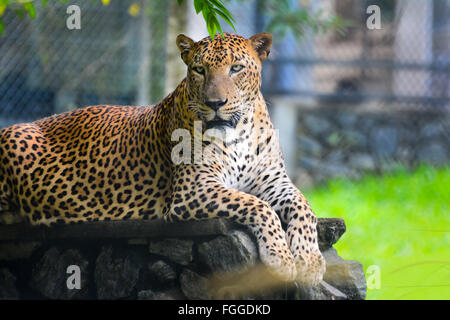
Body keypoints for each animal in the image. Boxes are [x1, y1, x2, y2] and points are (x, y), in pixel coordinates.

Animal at [0, 32, 324, 286]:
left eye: (236, 68)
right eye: (199, 69)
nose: (215, 104)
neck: (238, 132)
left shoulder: (273, 181)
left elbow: (303, 205)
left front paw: (310, 258)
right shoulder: (193, 189)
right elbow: (257, 206)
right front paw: (280, 256)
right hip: (13, 136)